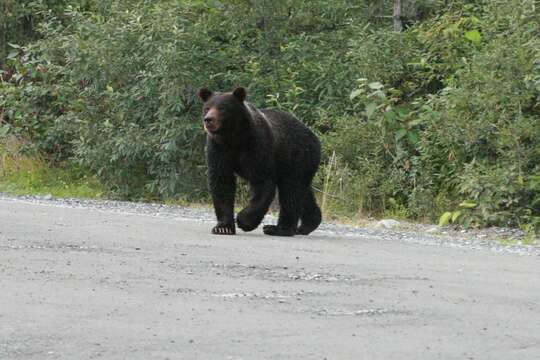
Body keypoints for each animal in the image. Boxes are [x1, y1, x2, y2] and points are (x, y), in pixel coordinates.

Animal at [197, 86, 320, 235]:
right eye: (207, 108)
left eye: (222, 108)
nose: (208, 119)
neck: (234, 138)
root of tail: (313, 135)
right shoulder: (219, 149)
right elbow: (222, 182)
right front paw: (223, 227)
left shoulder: (258, 146)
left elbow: (262, 180)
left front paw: (244, 221)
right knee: (303, 191)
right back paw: (307, 224)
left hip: (297, 157)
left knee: (291, 191)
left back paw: (278, 228)